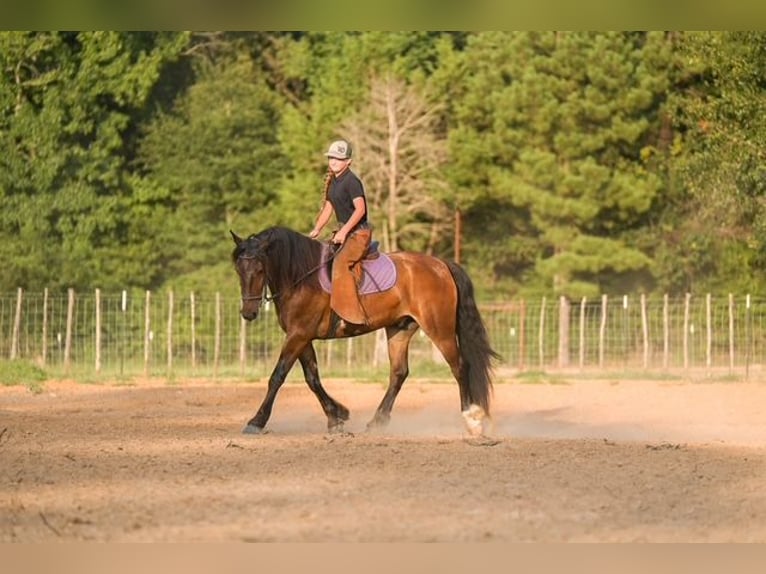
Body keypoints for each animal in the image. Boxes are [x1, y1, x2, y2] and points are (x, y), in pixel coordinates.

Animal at [230, 226, 500, 436]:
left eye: (260, 269)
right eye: (239, 271)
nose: (248, 313)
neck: (301, 277)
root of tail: (442, 265)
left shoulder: (298, 335)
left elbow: (278, 376)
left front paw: (256, 421)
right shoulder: (302, 337)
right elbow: (312, 378)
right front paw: (336, 416)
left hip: (439, 329)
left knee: (460, 367)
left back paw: (471, 420)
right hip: (399, 330)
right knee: (399, 373)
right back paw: (377, 422)